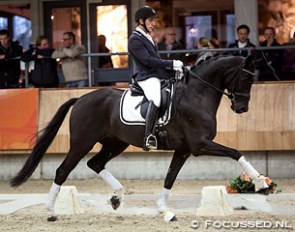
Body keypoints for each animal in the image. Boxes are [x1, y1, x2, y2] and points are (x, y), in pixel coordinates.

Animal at [9, 54, 268, 221]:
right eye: (247, 78)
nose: (242, 108)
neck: (197, 94)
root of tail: (81, 98)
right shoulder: (200, 145)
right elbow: (236, 153)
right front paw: (261, 184)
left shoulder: (184, 150)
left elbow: (170, 178)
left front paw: (164, 210)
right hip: (82, 143)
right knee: (63, 171)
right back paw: (51, 212)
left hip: (116, 143)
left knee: (96, 163)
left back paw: (117, 197)